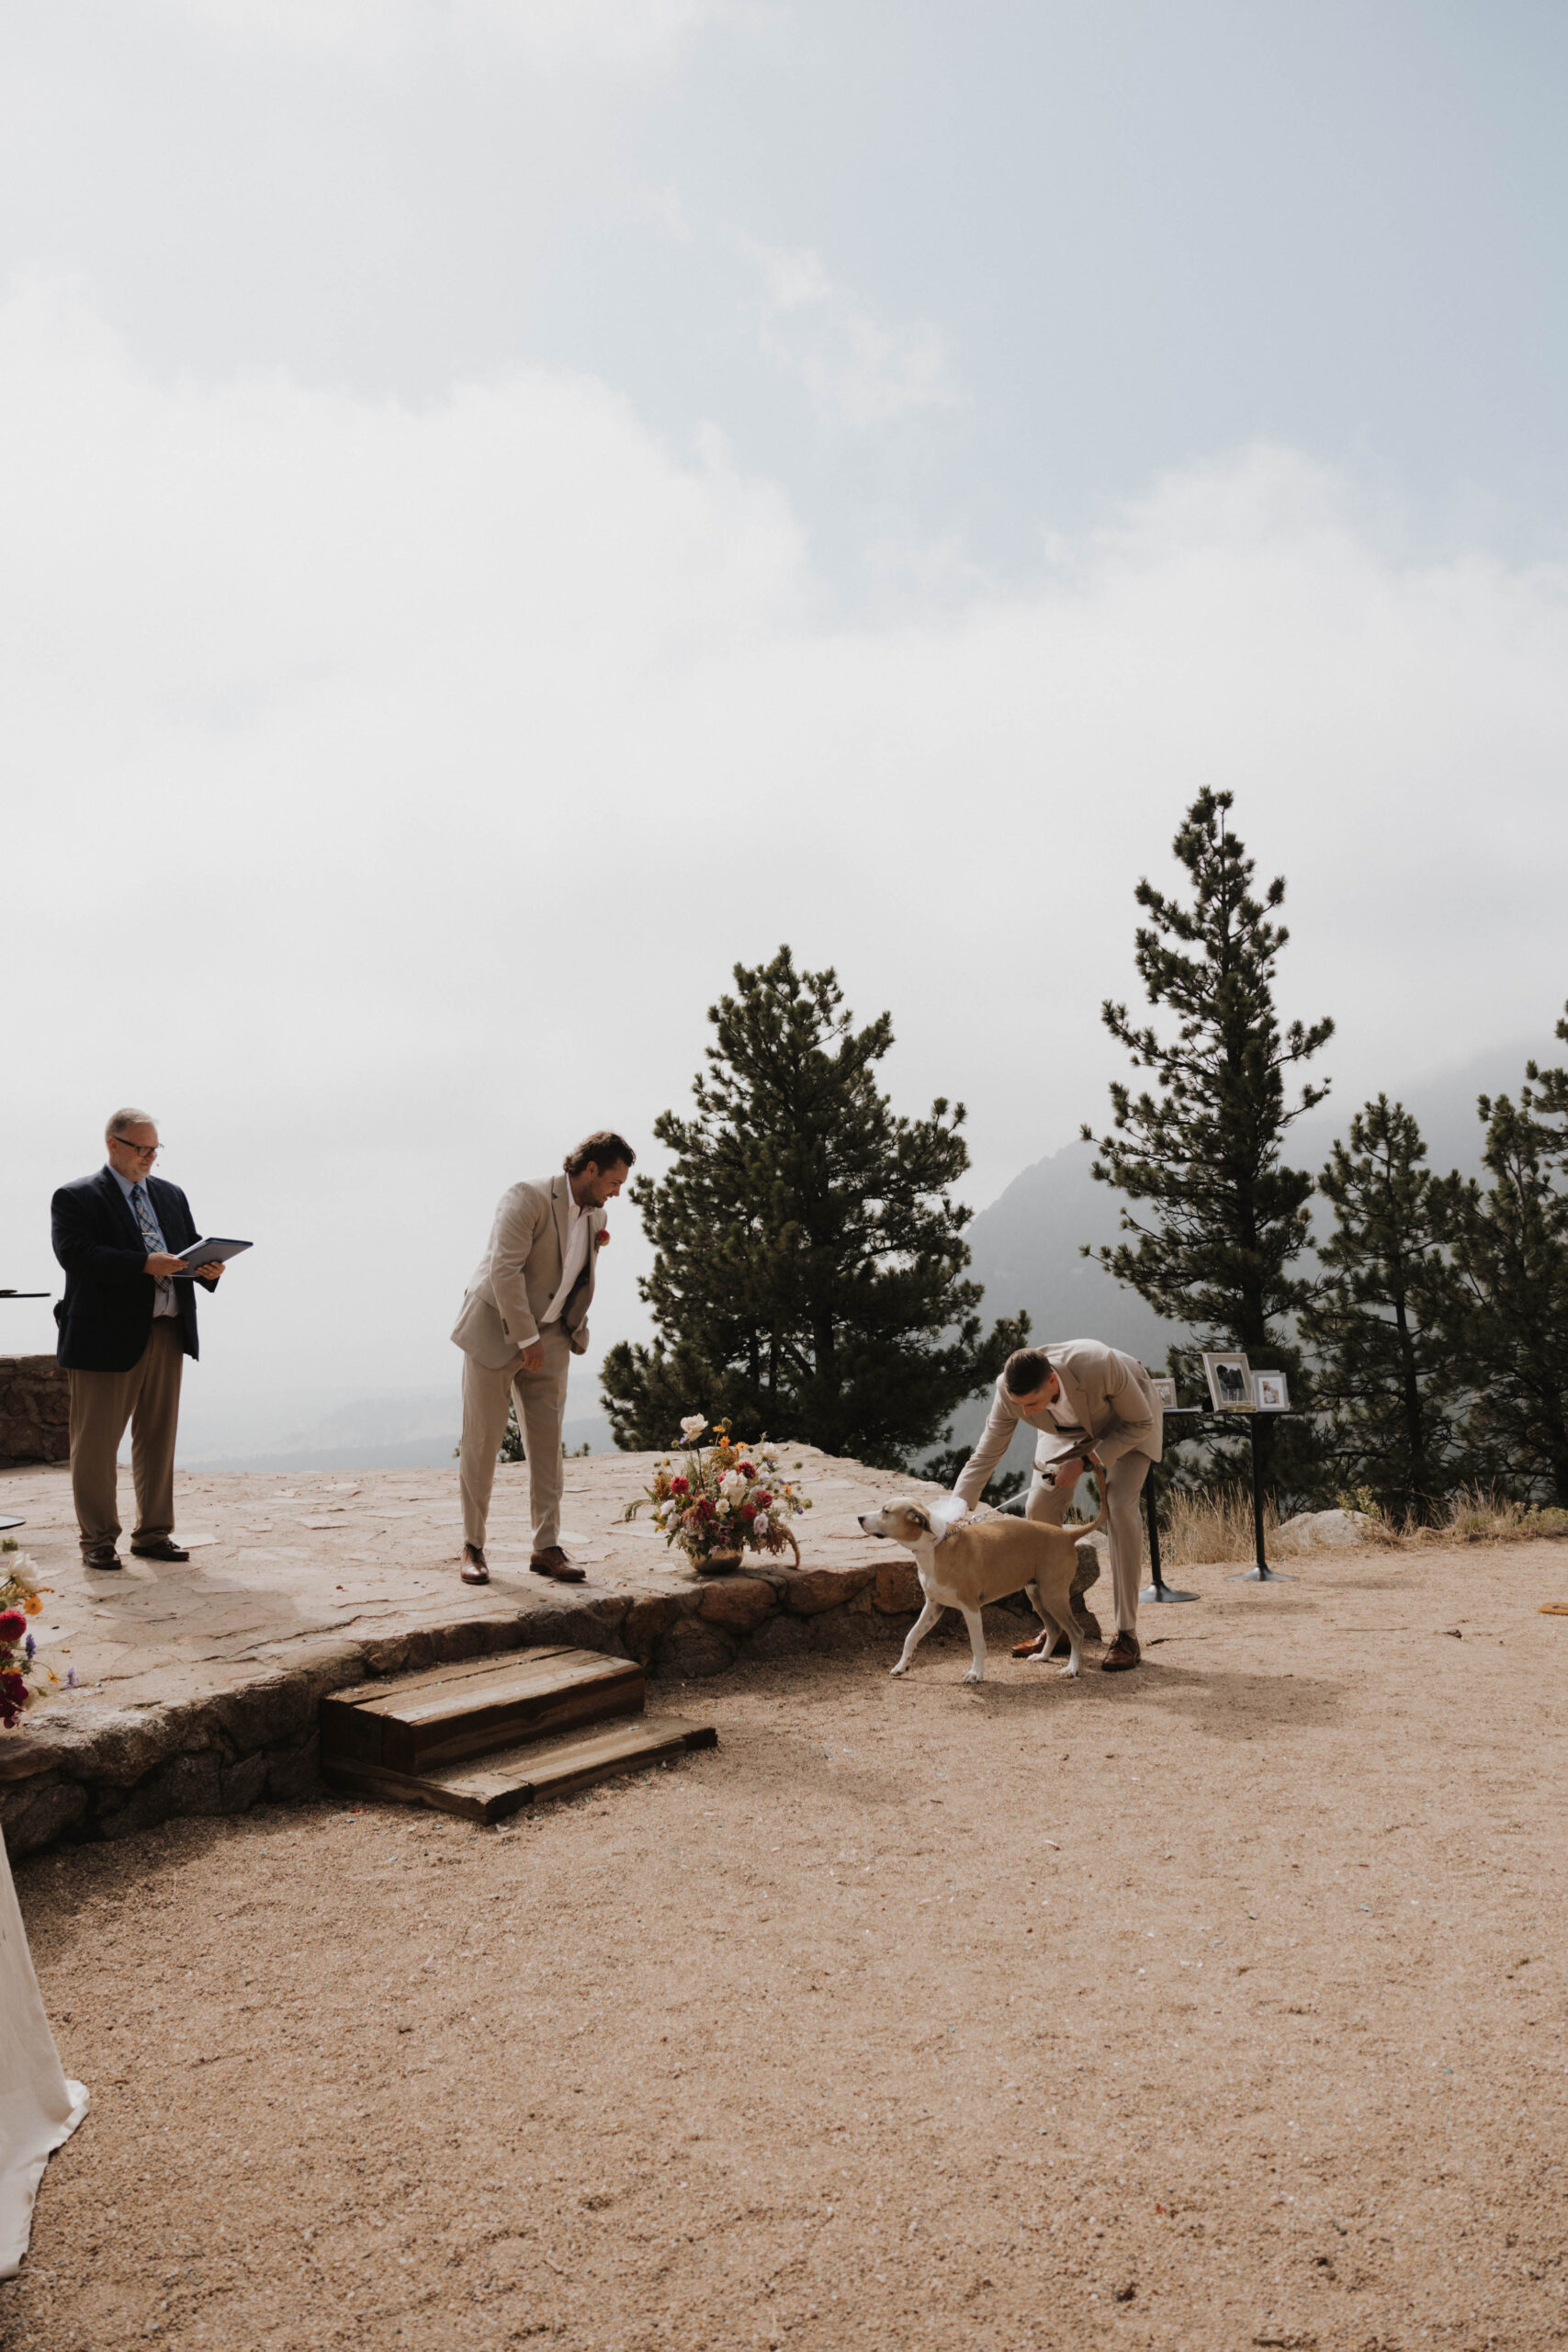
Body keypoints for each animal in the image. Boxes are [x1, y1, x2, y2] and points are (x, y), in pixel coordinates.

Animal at [860, 1496, 1104, 1683]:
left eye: (885, 1511)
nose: (859, 1518)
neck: (938, 1545)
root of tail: (1067, 1535)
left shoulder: (970, 1608)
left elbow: (977, 1644)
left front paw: (976, 1674)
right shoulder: (933, 1606)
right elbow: (911, 1636)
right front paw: (901, 1666)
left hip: (1053, 1596)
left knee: (1076, 1631)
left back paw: (1072, 1669)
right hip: (1037, 1595)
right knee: (1054, 1628)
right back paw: (1042, 1657)